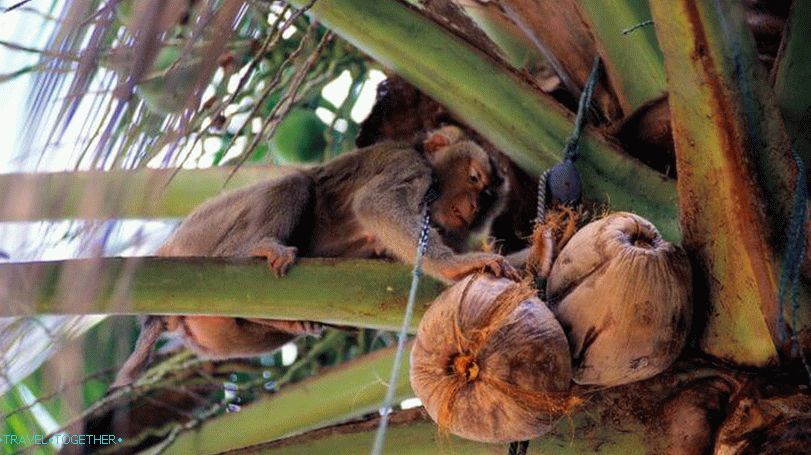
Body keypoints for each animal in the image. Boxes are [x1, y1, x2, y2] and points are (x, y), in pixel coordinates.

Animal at [112, 126, 517, 387]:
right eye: (474, 179)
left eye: (486, 199)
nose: (472, 206)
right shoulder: (408, 166)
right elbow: (375, 205)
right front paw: (456, 266)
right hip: (202, 234)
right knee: (294, 183)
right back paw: (252, 248)